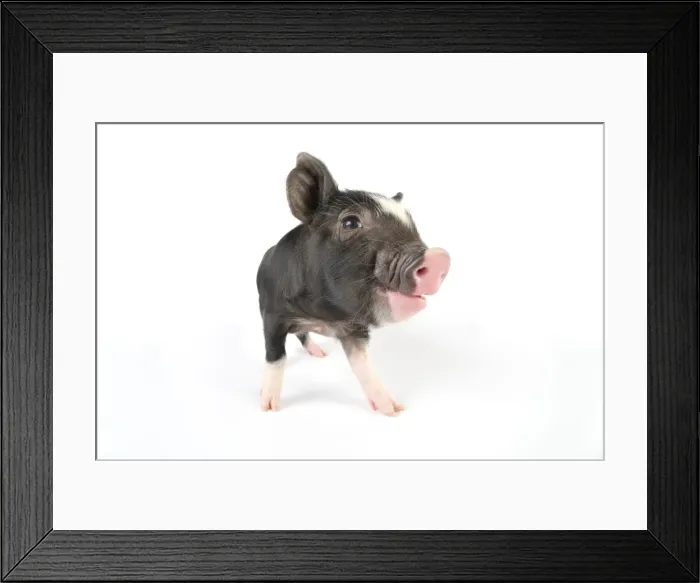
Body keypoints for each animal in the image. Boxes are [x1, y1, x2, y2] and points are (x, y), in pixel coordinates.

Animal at [256, 153, 450, 416]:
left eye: (411, 223)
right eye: (350, 223)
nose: (439, 256)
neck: (324, 315)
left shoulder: (355, 329)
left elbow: (363, 364)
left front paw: (393, 409)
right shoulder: (272, 314)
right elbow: (275, 356)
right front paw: (268, 407)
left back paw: (321, 354)